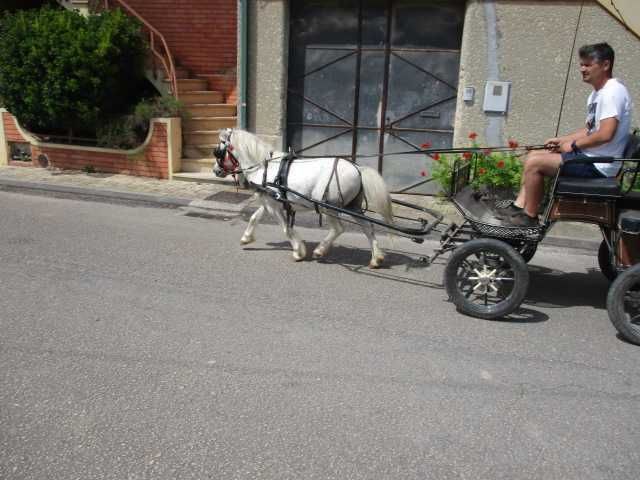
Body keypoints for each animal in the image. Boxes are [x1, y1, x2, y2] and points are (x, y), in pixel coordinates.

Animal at [214, 129, 396, 268]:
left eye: (218, 151)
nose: (215, 170)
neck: (264, 167)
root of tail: (358, 169)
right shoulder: (269, 202)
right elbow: (254, 217)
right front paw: (246, 238)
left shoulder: (274, 205)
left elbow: (286, 228)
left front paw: (298, 251)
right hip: (353, 207)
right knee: (367, 227)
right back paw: (376, 258)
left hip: (328, 206)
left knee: (338, 229)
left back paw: (320, 250)